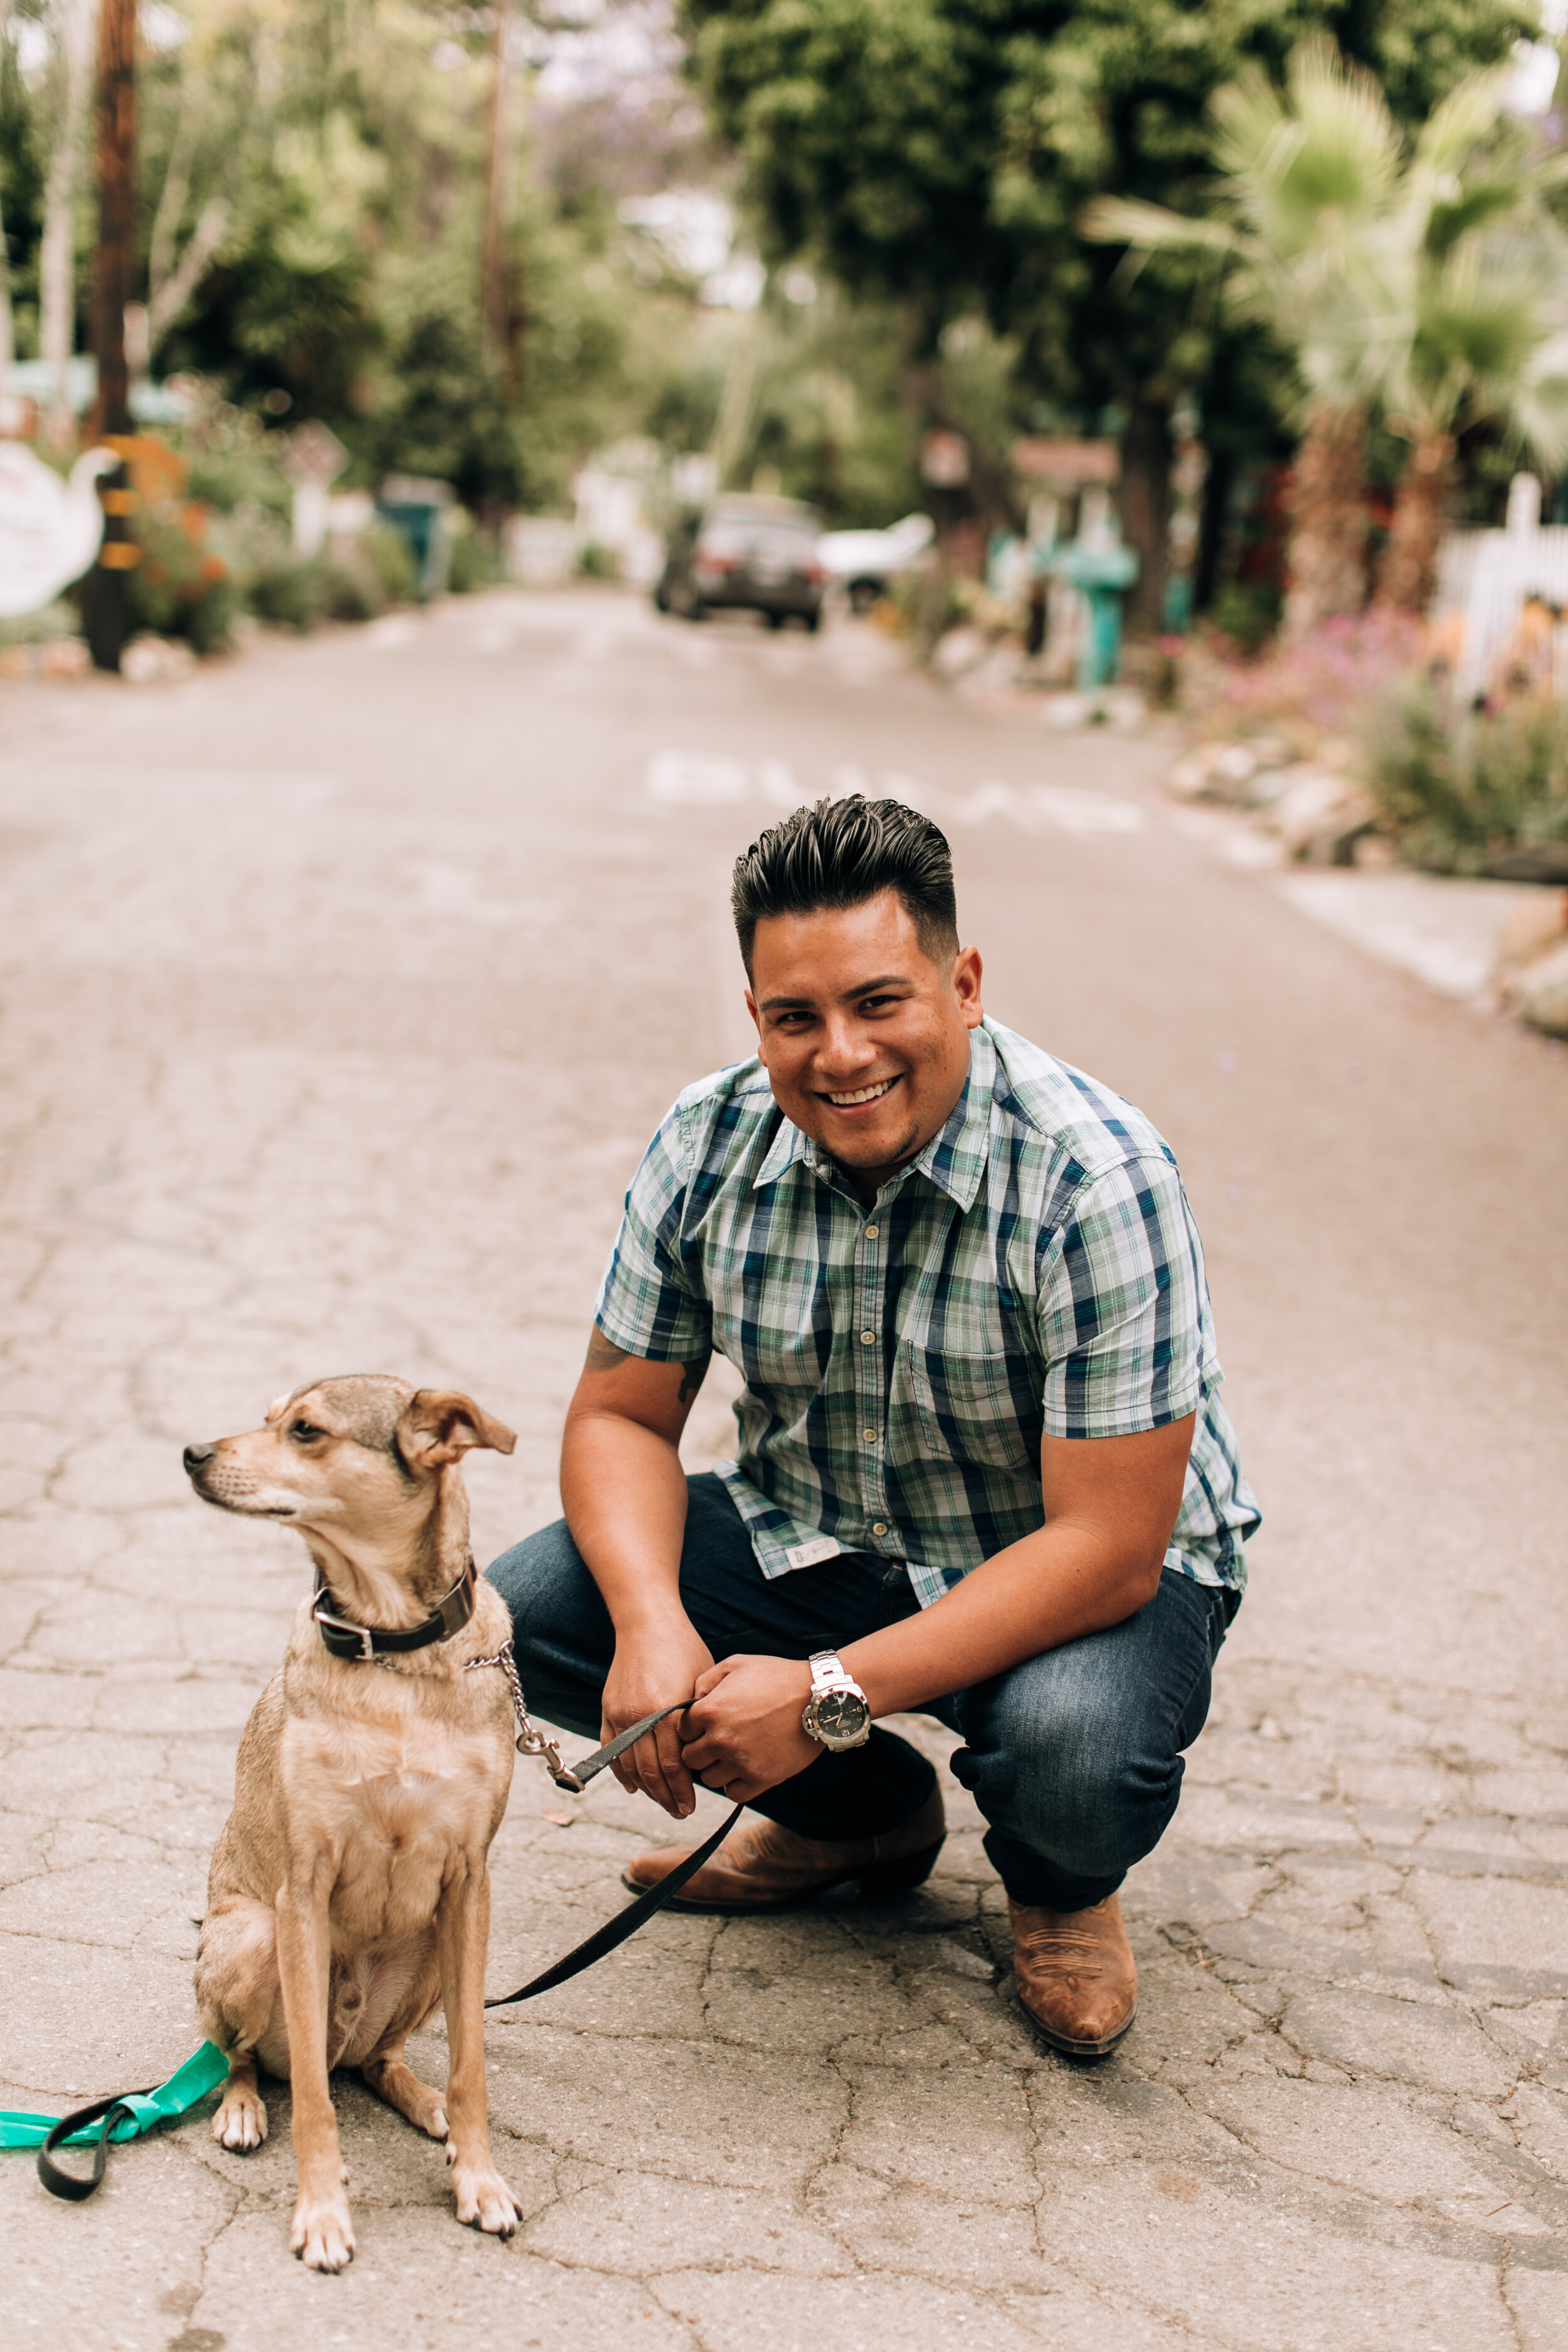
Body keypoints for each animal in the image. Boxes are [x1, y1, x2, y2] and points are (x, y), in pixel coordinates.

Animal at [184, 1383, 526, 2267]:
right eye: (270, 1416)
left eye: (306, 1430)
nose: (192, 1454)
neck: (392, 1654)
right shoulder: (301, 1891)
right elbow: (309, 2093)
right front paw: (322, 2212)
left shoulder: (471, 1883)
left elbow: (473, 2066)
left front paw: (479, 2179)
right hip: (253, 1938)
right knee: (245, 2057)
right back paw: (241, 2108)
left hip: (435, 1952)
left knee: (378, 2062)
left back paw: (425, 2103)